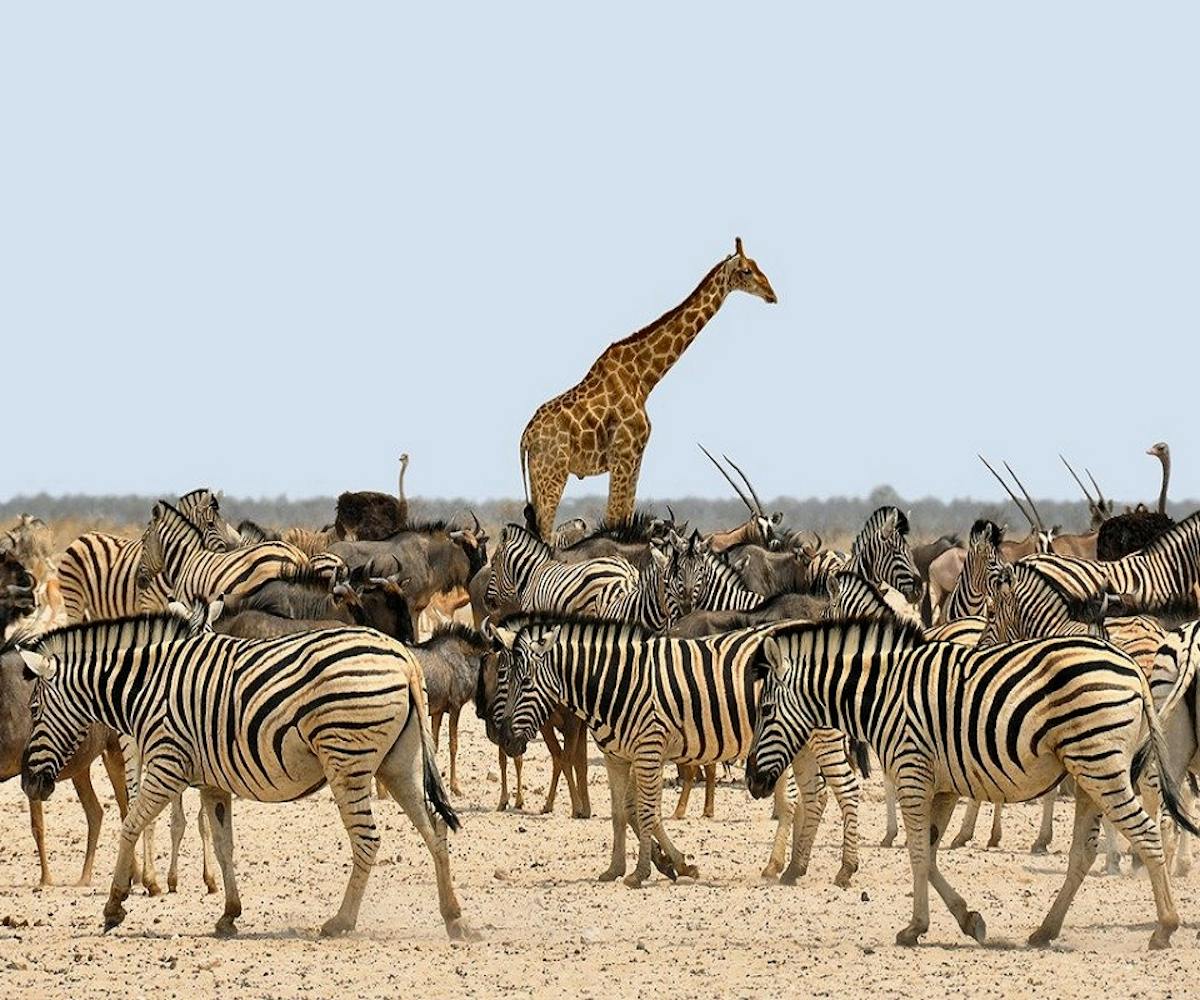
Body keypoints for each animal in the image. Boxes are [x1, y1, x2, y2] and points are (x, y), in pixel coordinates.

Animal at [14, 605, 475, 941]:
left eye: (34, 710)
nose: (28, 783)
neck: (145, 687)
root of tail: (404, 658)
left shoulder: (165, 765)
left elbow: (129, 826)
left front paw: (114, 905)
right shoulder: (212, 783)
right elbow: (224, 846)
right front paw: (229, 915)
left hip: (347, 759)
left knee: (368, 841)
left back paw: (340, 922)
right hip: (400, 763)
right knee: (435, 830)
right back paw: (454, 918)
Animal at [487, 614, 864, 888]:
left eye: (525, 682)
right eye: (503, 676)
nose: (504, 739)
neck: (614, 683)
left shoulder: (648, 751)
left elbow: (647, 814)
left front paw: (643, 872)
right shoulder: (616, 758)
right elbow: (623, 814)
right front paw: (625, 868)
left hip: (822, 736)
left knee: (845, 791)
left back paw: (843, 869)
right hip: (798, 742)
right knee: (814, 797)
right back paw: (792, 868)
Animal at [520, 237, 782, 537]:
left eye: (758, 266)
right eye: (747, 270)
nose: (772, 294)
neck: (644, 378)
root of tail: (525, 437)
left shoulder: (635, 457)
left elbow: (624, 514)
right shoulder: (624, 454)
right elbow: (614, 518)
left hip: (540, 478)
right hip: (552, 473)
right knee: (545, 534)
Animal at [744, 614, 1195, 950]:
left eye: (764, 711)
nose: (751, 781)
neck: (882, 693)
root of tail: (1133, 668)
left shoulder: (911, 771)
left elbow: (917, 854)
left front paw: (915, 928)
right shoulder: (940, 785)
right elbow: (930, 854)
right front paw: (969, 920)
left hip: (1099, 763)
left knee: (1146, 834)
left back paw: (1165, 927)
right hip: (1087, 771)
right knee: (1082, 853)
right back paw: (1045, 930)